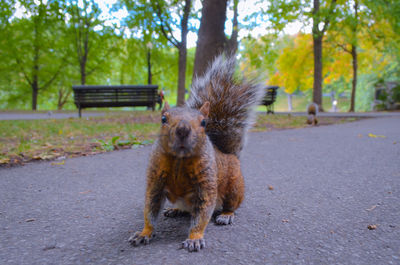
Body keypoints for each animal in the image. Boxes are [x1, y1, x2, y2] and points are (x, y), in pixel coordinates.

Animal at [129, 54, 266, 251]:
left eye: (203, 122)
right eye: (163, 119)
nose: (183, 130)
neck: (179, 160)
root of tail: (229, 154)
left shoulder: (206, 185)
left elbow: (202, 214)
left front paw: (194, 238)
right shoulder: (155, 181)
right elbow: (150, 209)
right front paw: (144, 233)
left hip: (234, 187)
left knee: (231, 205)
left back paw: (226, 215)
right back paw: (175, 209)